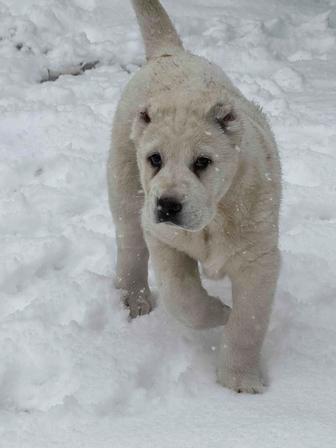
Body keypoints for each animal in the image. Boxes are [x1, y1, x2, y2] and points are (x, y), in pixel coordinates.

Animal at [107, 0, 280, 392]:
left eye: (203, 162)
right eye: (155, 159)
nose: (167, 205)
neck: (215, 217)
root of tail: (171, 52)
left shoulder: (259, 258)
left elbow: (249, 322)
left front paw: (239, 381)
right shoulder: (163, 237)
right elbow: (183, 298)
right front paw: (220, 312)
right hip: (124, 187)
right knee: (130, 244)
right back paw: (134, 298)